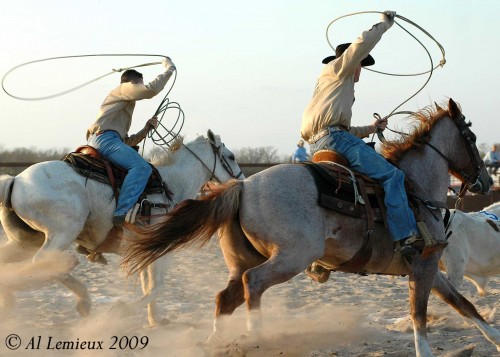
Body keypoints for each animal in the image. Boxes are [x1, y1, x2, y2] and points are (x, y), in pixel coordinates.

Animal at [0, 130, 244, 326]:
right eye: (231, 156)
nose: (241, 179)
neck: (171, 185)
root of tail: (16, 180)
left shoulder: (146, 249)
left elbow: (148, 285)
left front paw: (155, 319)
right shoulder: (162, 250)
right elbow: (156, 286)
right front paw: (123, 310)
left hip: (25, 241)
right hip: (61, 234)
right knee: (42, 263)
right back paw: (82, 296)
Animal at [124, 99, 500, 356]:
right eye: (470, 135)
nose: (484, 180)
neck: (413, 187)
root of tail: (243, 186)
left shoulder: (428, 267)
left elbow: (463, 304)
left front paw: (495, 339)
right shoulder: (422, 263)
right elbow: (419, 314)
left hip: (242, 260)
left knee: (225, 297)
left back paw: (216, 341)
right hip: (291, 257)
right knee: (252, 284)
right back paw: (256, 336)